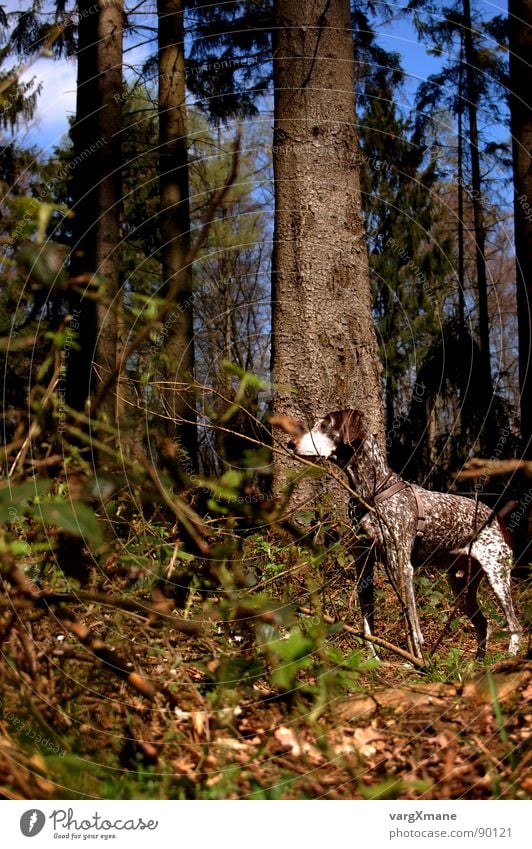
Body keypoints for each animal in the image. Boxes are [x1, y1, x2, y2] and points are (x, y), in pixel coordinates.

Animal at [288, 408, 520, 660]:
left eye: (324, 425)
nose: (290, 443)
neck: (372, 491)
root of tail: (497, 517)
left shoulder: (401, 566)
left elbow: (412, 622)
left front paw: (416, 659)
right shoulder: (364, 565)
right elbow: (367, 622)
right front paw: (374, 659)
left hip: (497, 575)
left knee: (514, 624)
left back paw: (509, 657)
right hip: (461, 585)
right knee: (483, 624)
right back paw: (478, 662)